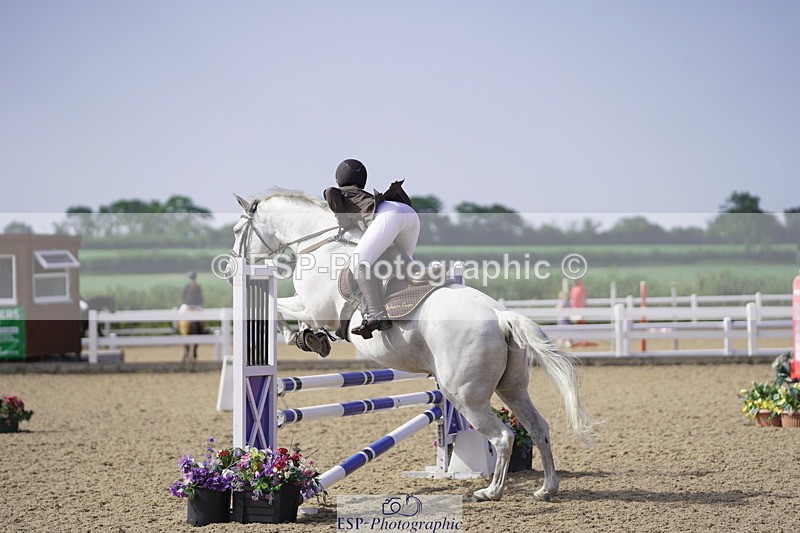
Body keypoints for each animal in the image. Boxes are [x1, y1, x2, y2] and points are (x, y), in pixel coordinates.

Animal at [230, 188, 598, 502]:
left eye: (236, 231)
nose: (232, 269)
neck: (318, 247)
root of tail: (501, 316)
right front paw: (310, 339)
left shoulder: (312, 308)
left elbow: (279, 308)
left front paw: (300, 337)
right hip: (511, 388)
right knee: (538, 428)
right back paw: (547, 488)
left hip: (465, 396)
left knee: (503, 437)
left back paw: (490, 492)